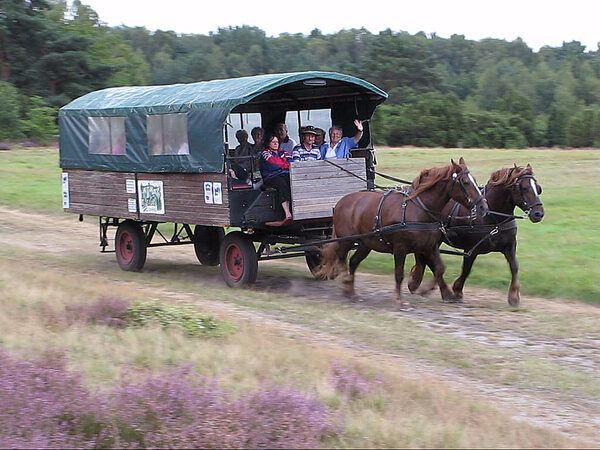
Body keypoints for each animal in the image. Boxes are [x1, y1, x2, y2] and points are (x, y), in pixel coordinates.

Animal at [318, 158, 488, 310]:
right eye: (465, 182)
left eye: (474, 180)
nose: (484, 207)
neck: (418, 209)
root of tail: (340, 202)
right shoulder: (400, 248)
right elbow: (399, 274)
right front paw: (400, 300)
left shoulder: (430, 246)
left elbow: (439, 268)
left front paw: (442, 293)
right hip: (345, 241)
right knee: (341, 260)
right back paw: (346, 284)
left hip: (365, 243)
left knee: (353, 262)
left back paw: (351, 292)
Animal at [408, 163, 544, 308]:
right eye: (524, 188)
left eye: (538, 188)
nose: (539, 213)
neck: (493, 217)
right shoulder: (471, 249)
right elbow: (466, 269)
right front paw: (457, 290)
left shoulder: (510, 246)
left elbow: (514, 266)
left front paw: (514, 296)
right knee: (428, 259)